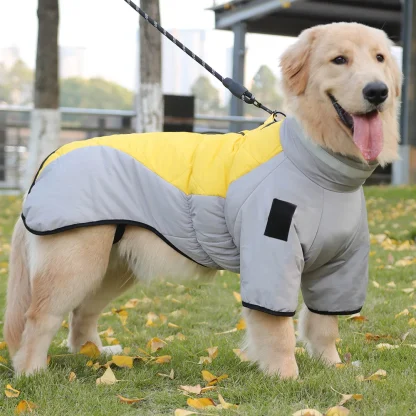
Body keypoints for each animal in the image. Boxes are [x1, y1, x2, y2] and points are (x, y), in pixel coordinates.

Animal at [2, 22, 400, 376]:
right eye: (339, 60)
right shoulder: (271, 258)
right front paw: (286, 376)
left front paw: (333, 366)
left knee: (82, 312)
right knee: (40, 316)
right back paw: (31, 371)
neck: (317, 163)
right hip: (75, 263)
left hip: (114, 266)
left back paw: (94, 353)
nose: (377, 91)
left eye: (380, 57)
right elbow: (278, 332)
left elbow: (324, 324)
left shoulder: (340, 265)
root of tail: (49, 159)